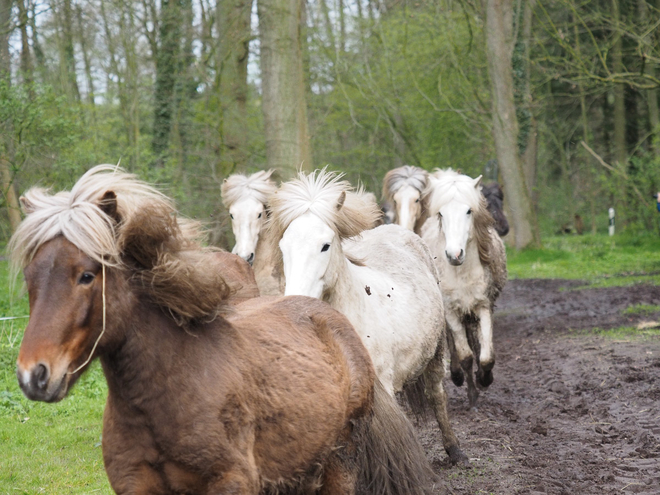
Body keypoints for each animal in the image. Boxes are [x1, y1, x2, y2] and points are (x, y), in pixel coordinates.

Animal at [10, 167, 436, 495]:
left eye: (86, 276)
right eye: (30, 276)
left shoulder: (231, 483)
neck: (162, 398)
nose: (35, 374)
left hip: (340, 460)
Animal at [266, 170, 466, 464]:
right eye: (283, 247)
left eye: (325, 246)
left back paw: (454, 450)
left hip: (436, 353)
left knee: (436, 395)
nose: (296, 302)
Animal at [420, 170, 508, 410]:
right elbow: (465, 355)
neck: (462, 273)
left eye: (469, 211)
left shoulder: (483, 306)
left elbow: (486, 356)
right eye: (441, 213)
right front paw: (471, 393)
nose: (454, 254)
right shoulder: (451, 311)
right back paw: (457, 375)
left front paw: (485, 379)